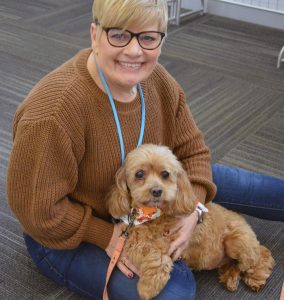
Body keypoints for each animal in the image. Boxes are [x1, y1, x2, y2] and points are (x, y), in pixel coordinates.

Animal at [105, 144, 274, 298]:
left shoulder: (170, 242)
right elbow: (142, 245)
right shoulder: (133, 235)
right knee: (237, 263)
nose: (157, 191)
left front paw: (148, 287)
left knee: (259, 256)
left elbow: (157, 257)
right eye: (139, 174)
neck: (151, 215)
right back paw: (230, 278)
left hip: (238, 242)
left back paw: (255, 278)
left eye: (165, 174)